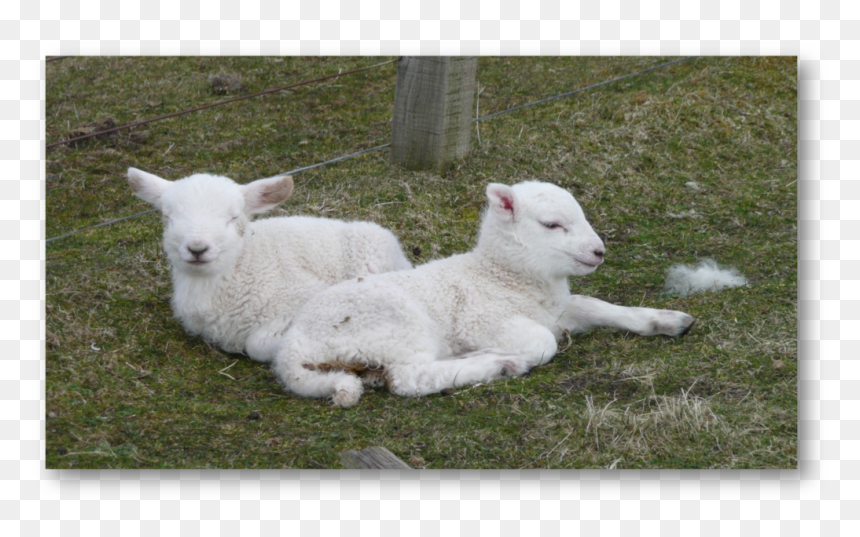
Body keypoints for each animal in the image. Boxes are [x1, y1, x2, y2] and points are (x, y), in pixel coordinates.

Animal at [270, 180, 696, 408]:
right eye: (552, 225)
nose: (598, 252)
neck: (502, 276)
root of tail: (292, 346)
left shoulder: (557, 310)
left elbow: (598, 306)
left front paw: (666, 320)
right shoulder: (482, 320)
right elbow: (544, 343)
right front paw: (504, 354)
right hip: (397, 323)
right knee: (408, 378)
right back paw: (499, 364)